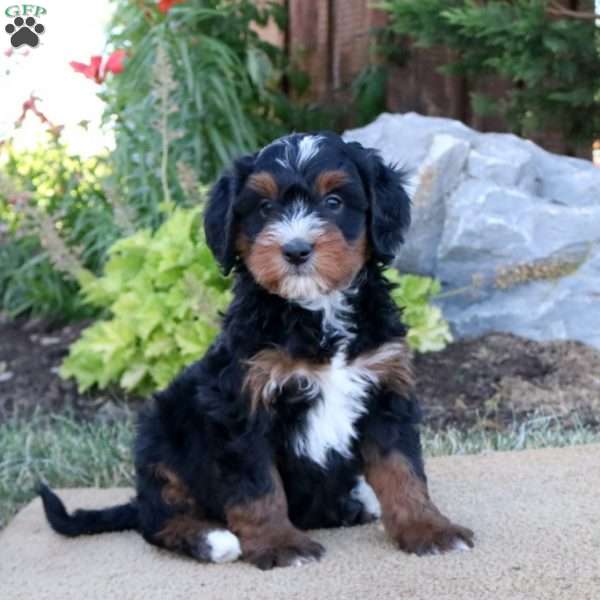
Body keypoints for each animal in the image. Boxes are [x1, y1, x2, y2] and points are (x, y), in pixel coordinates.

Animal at [39, 134, 476, 568]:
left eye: (334, 201)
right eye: (265, 207)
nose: (296, 250)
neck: (316, 311)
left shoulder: (385, 388)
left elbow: (403, 469)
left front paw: (428, 528)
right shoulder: (242, 405)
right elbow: (258, 486)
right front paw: (279, 543)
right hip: (162, 427)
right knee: (156, 516)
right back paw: (211, 539)